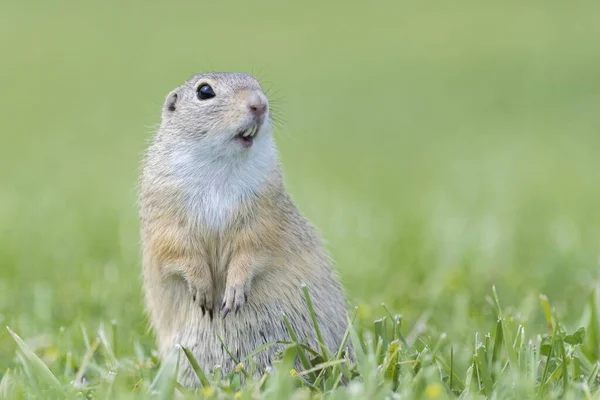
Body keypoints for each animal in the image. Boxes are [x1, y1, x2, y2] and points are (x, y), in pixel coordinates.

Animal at [138, 72, 350, 388]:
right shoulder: (165, 214)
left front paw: (235, 291)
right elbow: (176, 249)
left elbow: (254, 249)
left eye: (257, 83)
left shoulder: (264, 214)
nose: (259, 104)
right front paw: (202, 290)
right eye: (204, 91)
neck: (221, 164)